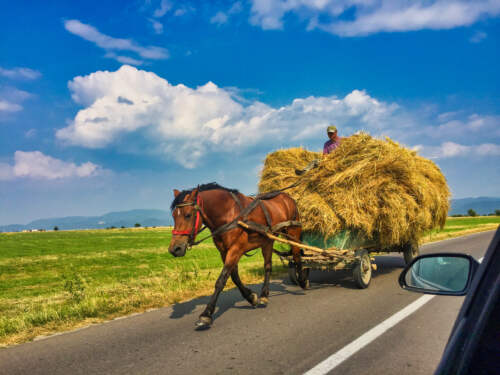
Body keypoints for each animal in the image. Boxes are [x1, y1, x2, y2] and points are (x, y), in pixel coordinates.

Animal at [170, 184, 306, 330]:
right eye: (173, 215)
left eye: (188, 215)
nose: (174, 249)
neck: (229, 213)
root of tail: (288, 197)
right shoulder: (224, 252)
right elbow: (234, 276)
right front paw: (251, 297)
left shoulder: (235, 250)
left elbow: (221, 280)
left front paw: (206, 314)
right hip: (268, 240)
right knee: (268, 266)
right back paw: (264, 295)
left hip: (293, 232)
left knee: (297, 255)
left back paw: (302, 280)